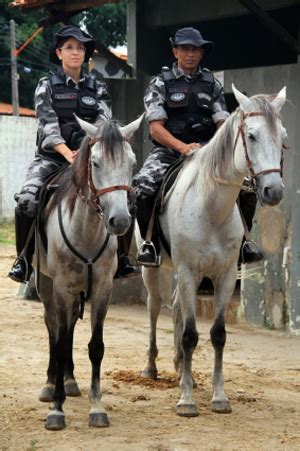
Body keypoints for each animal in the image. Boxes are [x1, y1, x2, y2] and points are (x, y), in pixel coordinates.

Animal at [36, 115, 142, 430]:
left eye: (132, 162)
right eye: (95, 163)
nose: (119, 220)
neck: (85, 230)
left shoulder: (102, 288)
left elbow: (96, 346)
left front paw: (97, 408)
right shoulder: (60, 287)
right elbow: (59, 342)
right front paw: (56, 411)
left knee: (69, 326)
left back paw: (70, 382)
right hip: (46, 284)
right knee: (53, 327)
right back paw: (51, 385)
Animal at [139, 85, 288, 416]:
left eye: (283, 136)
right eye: (251, 136)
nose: (273, 191)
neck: (210, 208)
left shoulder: (225, 276)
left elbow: (217, 334)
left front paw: (219, 397)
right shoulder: (188, 271)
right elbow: (190, 334)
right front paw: (186, 401)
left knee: (176, 308)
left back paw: (182, 369)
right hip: (154, 269)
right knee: (155, 308)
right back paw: (151, 368)